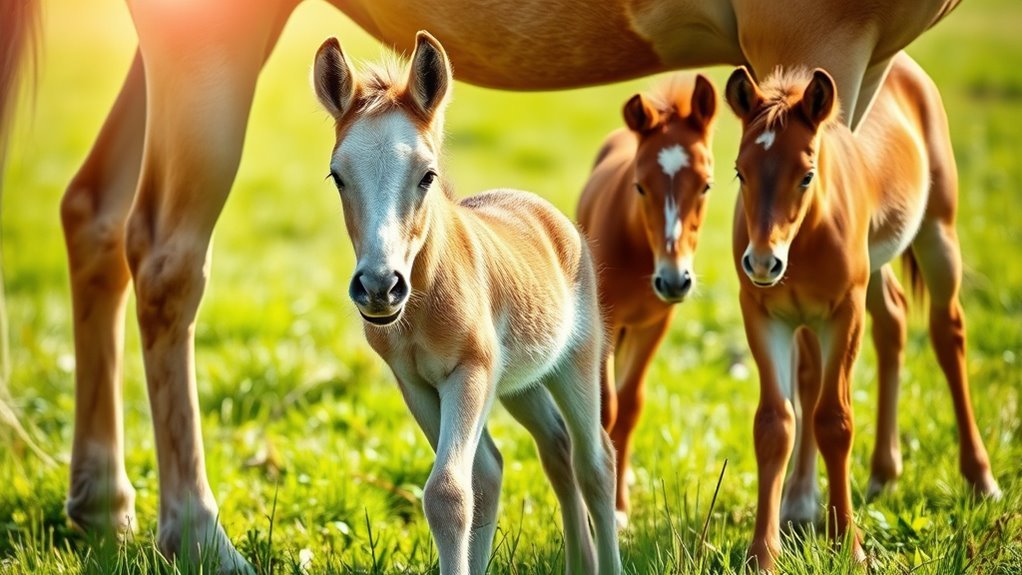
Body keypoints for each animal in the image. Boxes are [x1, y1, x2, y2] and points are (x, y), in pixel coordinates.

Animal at [312, 31, 621, 575]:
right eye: (337, 176)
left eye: (427, 175)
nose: (379, 286)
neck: (422, 301)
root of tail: (544, 211)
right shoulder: (415, 384)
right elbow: (477, 479)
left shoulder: (470, 370)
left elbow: (450, 493)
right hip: (520, 382)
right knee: (553, 450)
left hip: (575, 363)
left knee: (594, 461)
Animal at [576, 73, 717, 522]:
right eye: (639, 186)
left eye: (706, 185)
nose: (673, 281)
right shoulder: (605, 323)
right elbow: (606, 407)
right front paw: (600, 507)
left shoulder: (655, 324)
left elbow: (630, 406)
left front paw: (619, 504)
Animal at [723, 51, 1000, 570]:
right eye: (739, 172)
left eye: (806, 175)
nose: (763, 262)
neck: (803, 243)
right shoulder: (763, 315)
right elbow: (775, 424)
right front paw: (762, 556)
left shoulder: (843, 312)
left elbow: (834, 420)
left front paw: (848, 548)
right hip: (874, 267)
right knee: (893, 319)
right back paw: (883, 473)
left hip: (937, 234)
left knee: (947, 332)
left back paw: (981, 478)